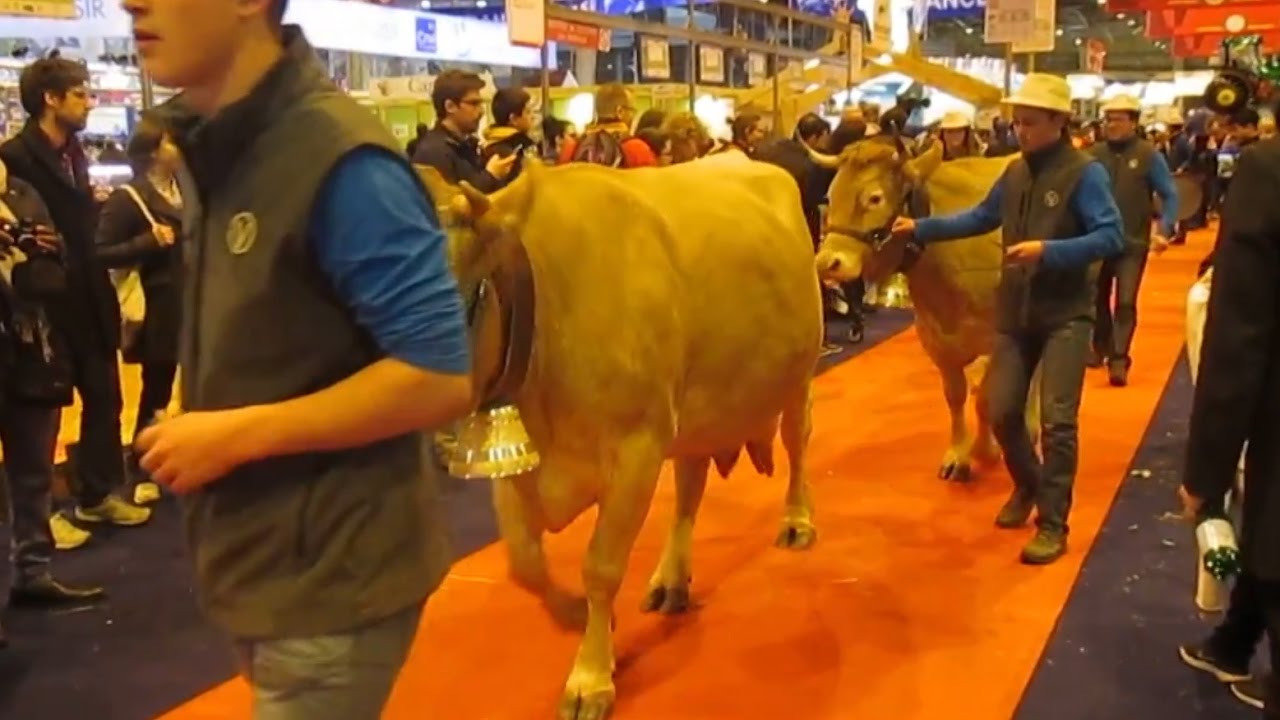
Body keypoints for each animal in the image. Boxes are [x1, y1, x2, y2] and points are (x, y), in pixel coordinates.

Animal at [417, 152, 824, 720]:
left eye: (456, 298)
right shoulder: (514, 461)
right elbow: (524, 563)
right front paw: (576, 616)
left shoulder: (638, 446)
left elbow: (601, 566)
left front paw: (590, 676)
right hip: (694, 411)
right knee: (690, 484)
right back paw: (672, 578)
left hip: (797, 374)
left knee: (797, 441)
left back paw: (797, 520)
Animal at [807, 135, 1039, 482]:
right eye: (831, 196)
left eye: (874, 198)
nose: (826, 262)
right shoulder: (936, 341)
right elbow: (955, 395)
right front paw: (959, 454)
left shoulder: (998, 339)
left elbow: (985, 397)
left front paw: (985, 450)